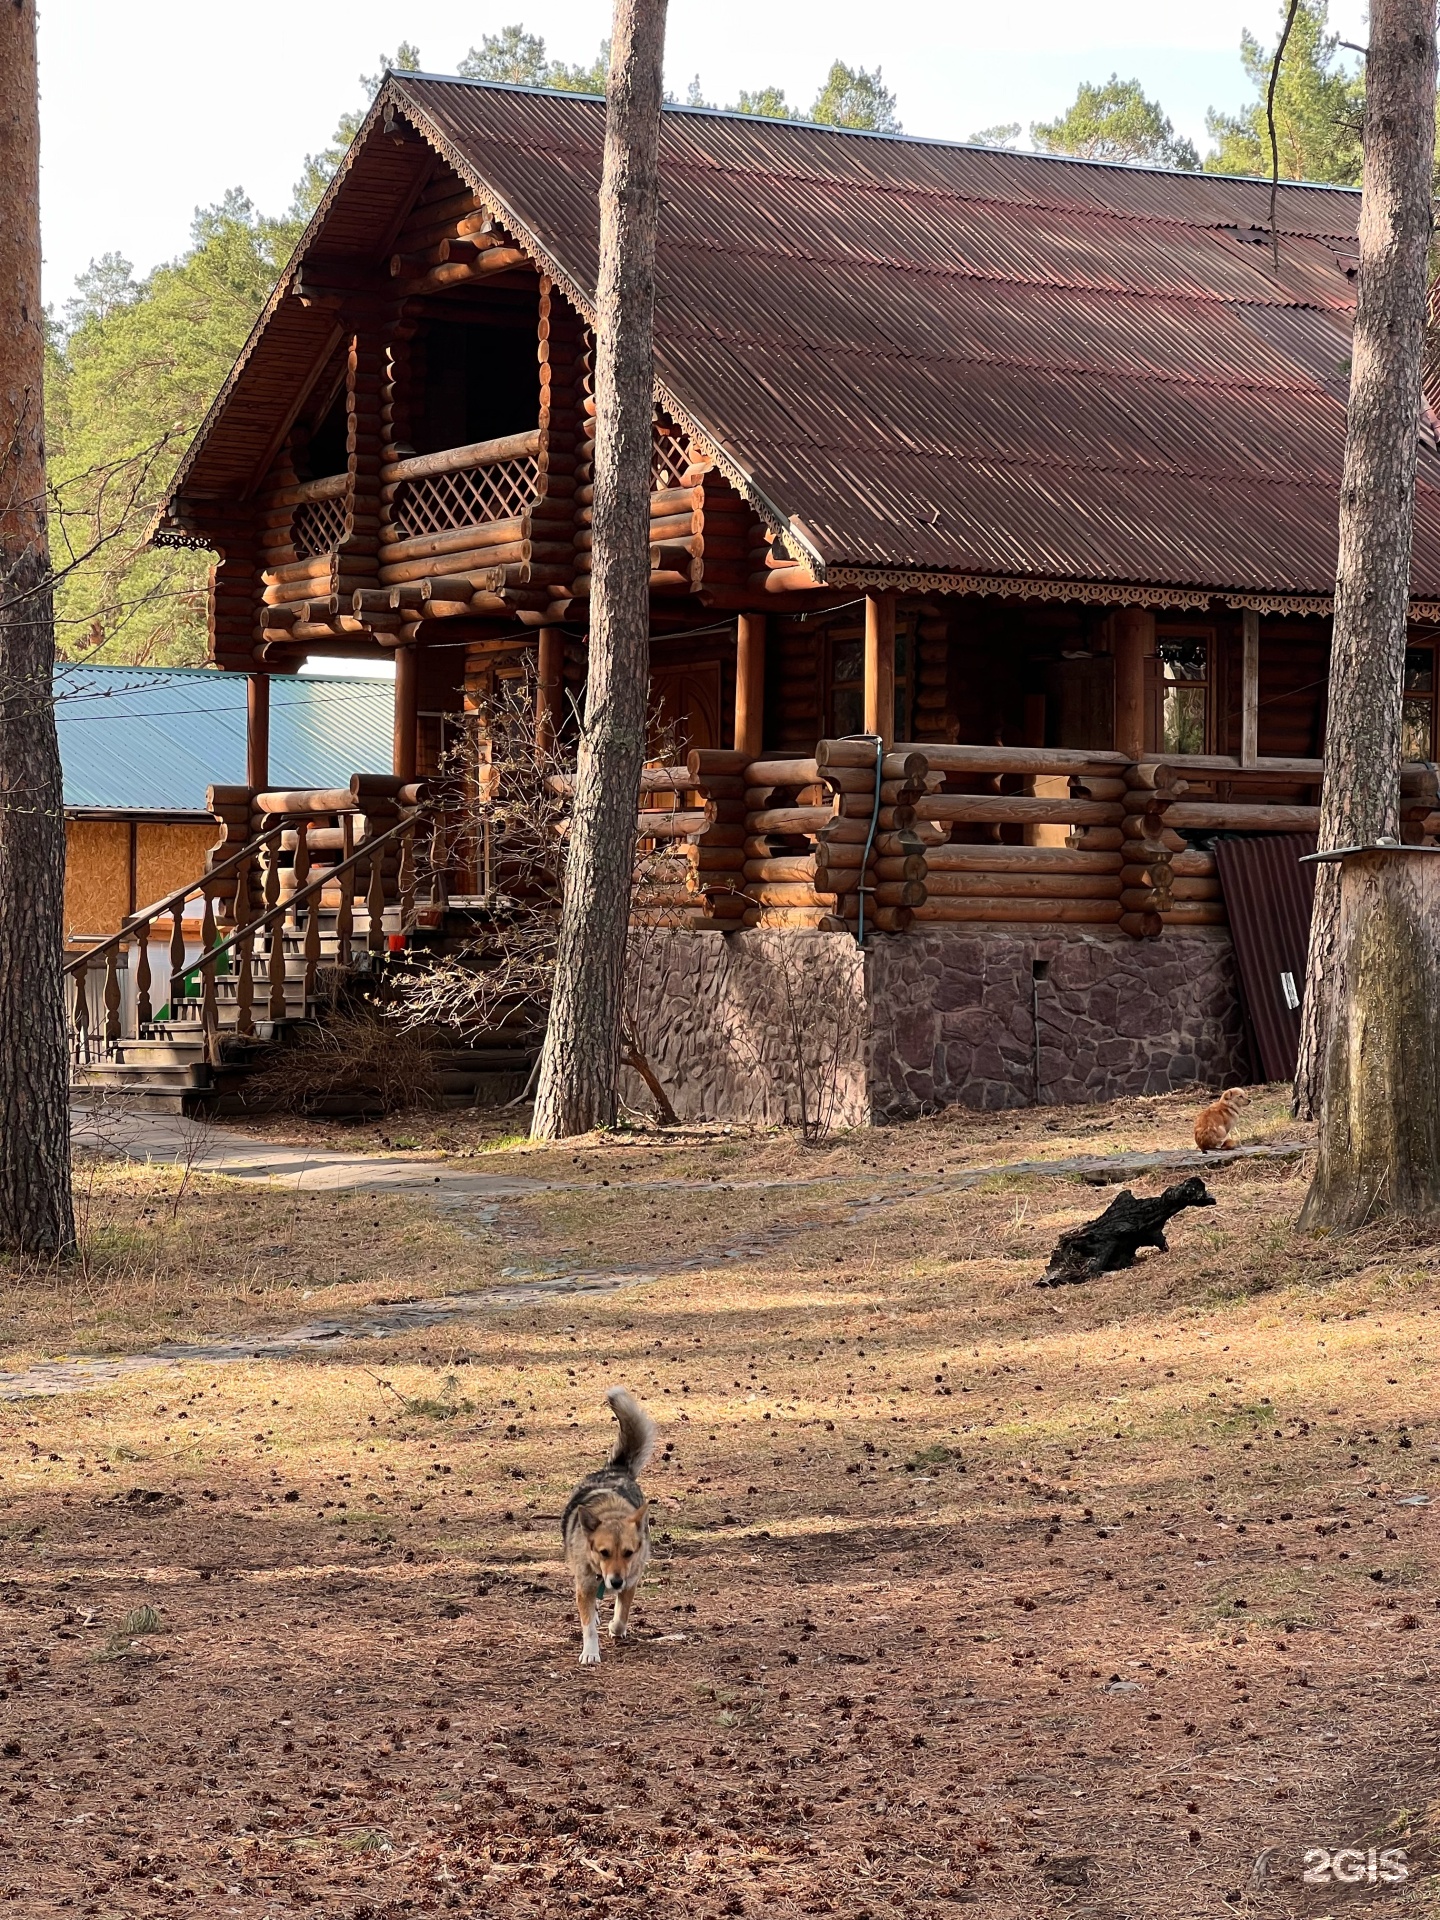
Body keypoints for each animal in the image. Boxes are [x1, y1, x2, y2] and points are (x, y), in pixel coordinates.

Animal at [564, 1397, 660, 1666]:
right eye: (603, 1552)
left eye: (628, 1552)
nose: (615, 1581)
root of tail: (615, 1470)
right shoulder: (585, 1584)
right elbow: (588, 1625)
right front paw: (590, 1652)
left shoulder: (631, 1580)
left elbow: (621, 1615)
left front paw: (616, 1628)